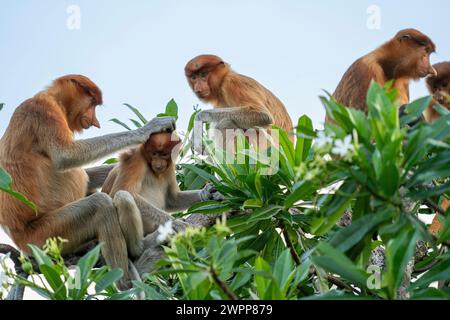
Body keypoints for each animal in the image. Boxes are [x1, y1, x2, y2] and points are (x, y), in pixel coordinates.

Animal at [0, 74, 175, 288]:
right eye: (92, 103)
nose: (95, 121)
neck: (55, 101)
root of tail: (17, 236)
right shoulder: (42, 110)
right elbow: (65, 155)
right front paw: (147, 129)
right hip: (44, 236)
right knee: (100, 206)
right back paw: (129, 281)